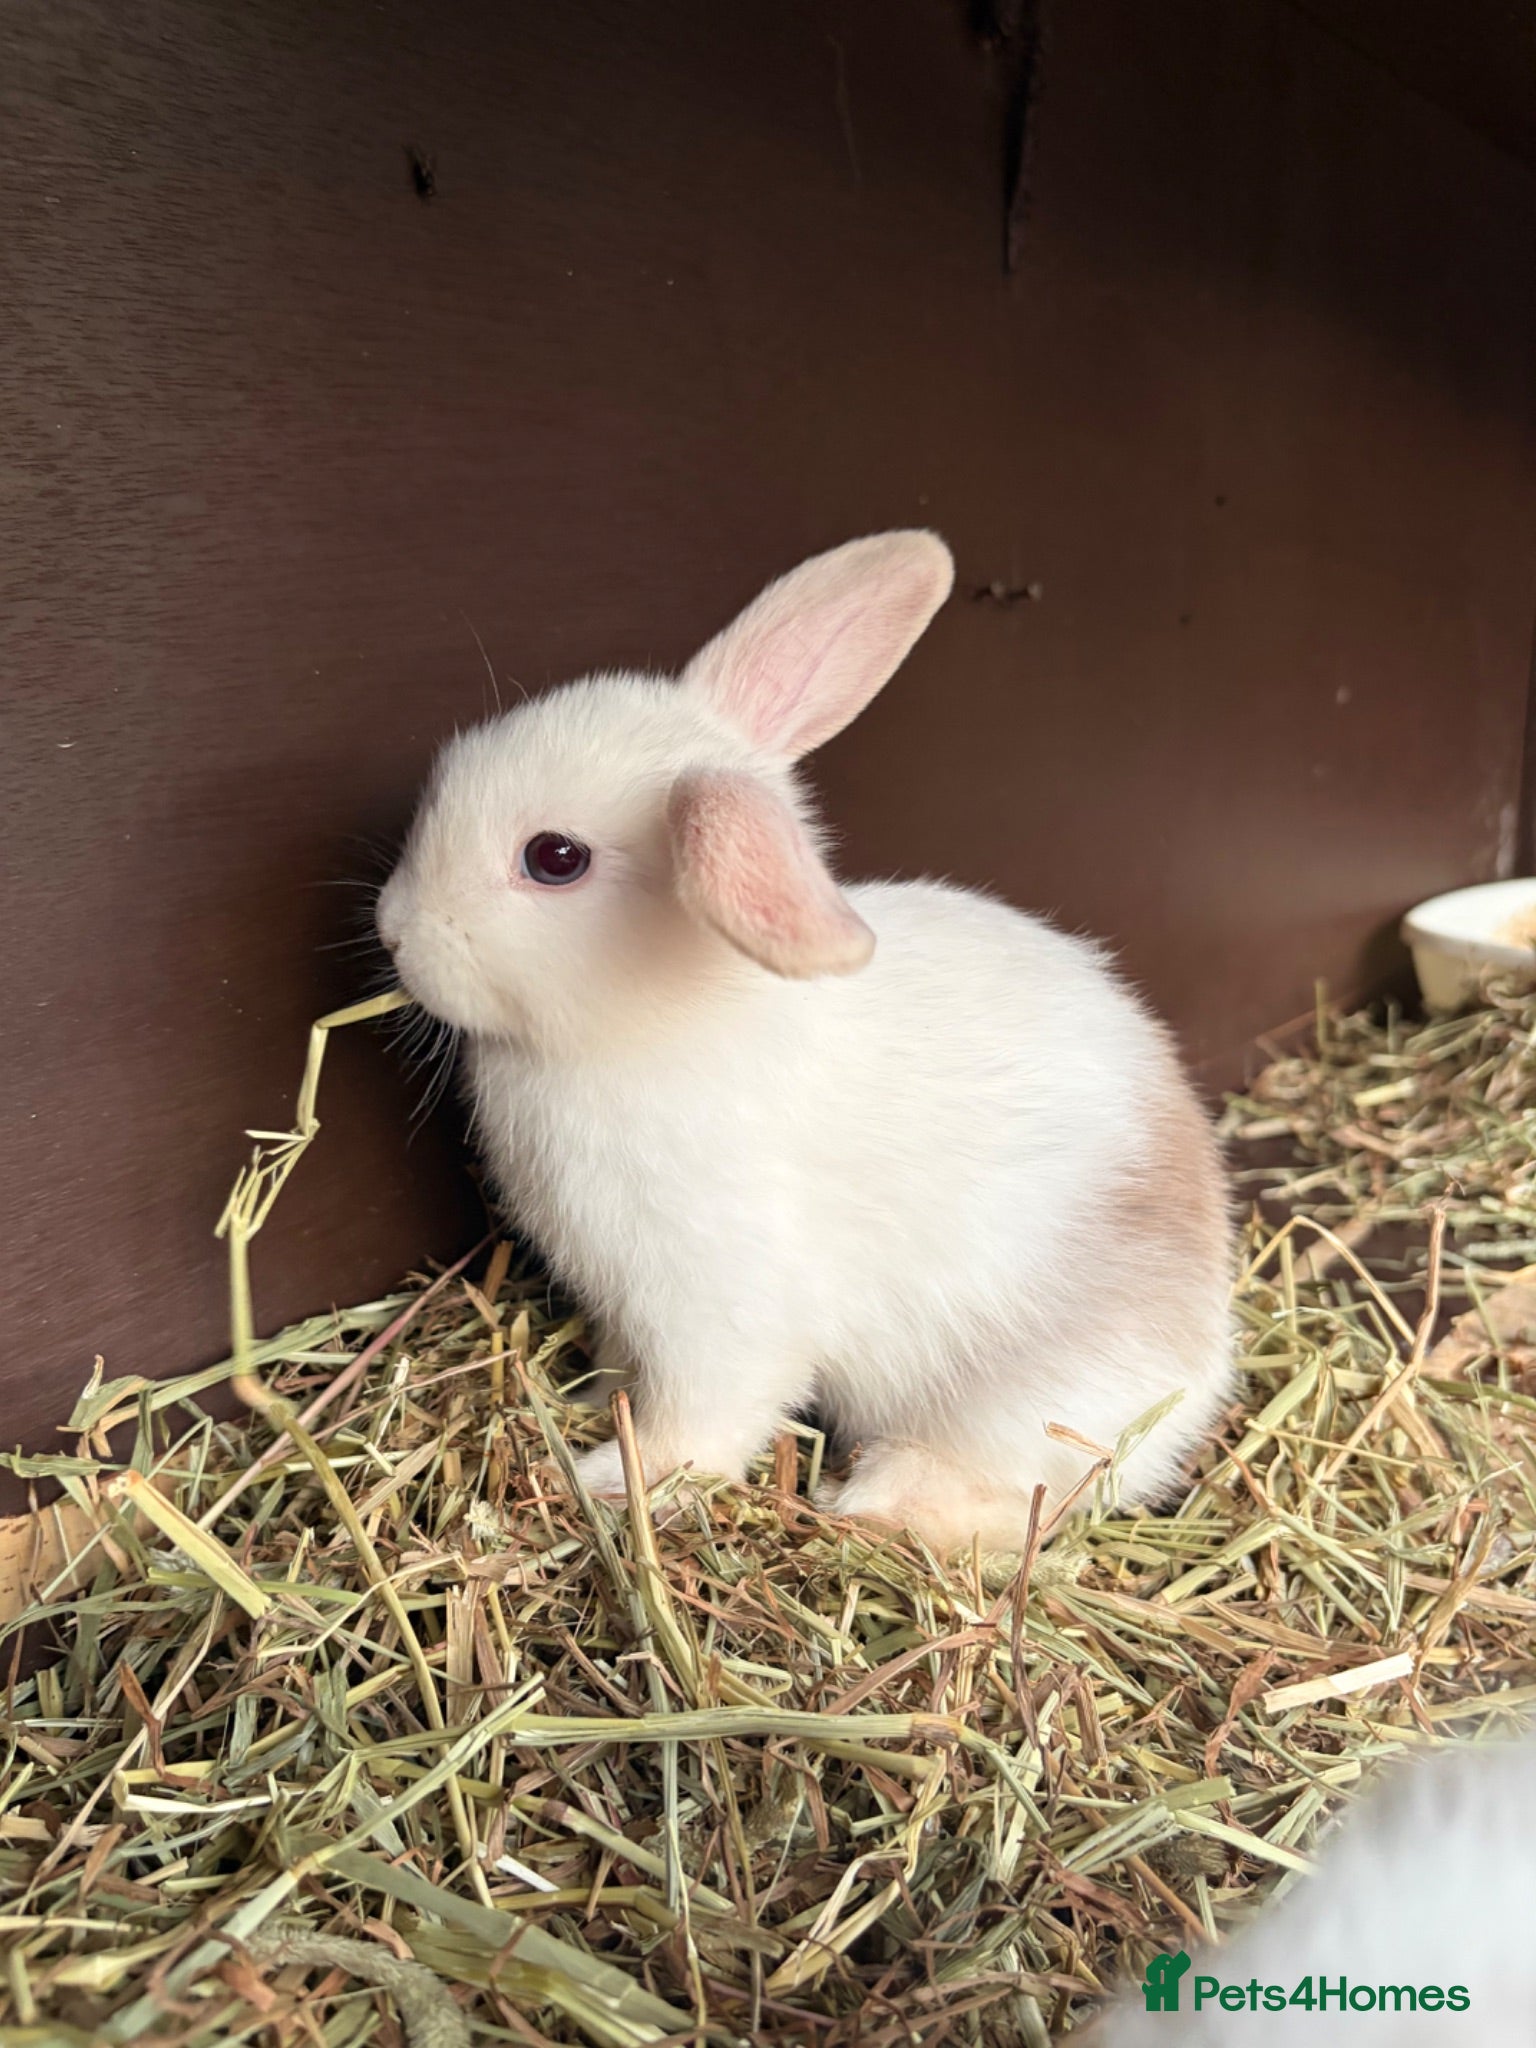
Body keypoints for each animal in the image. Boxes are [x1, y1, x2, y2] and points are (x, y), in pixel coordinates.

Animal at [375, 531, 1232, 1552]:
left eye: (556, 859)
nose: (392, 930)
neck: (654, 1024)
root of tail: (1202, 1371)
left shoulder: (715, 1311)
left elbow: (703, 1419)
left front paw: (613, 1482)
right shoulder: (626, 1309)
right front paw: (588, 1405)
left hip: (1018, 1405)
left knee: (1025, 1497)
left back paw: (873, 1501)